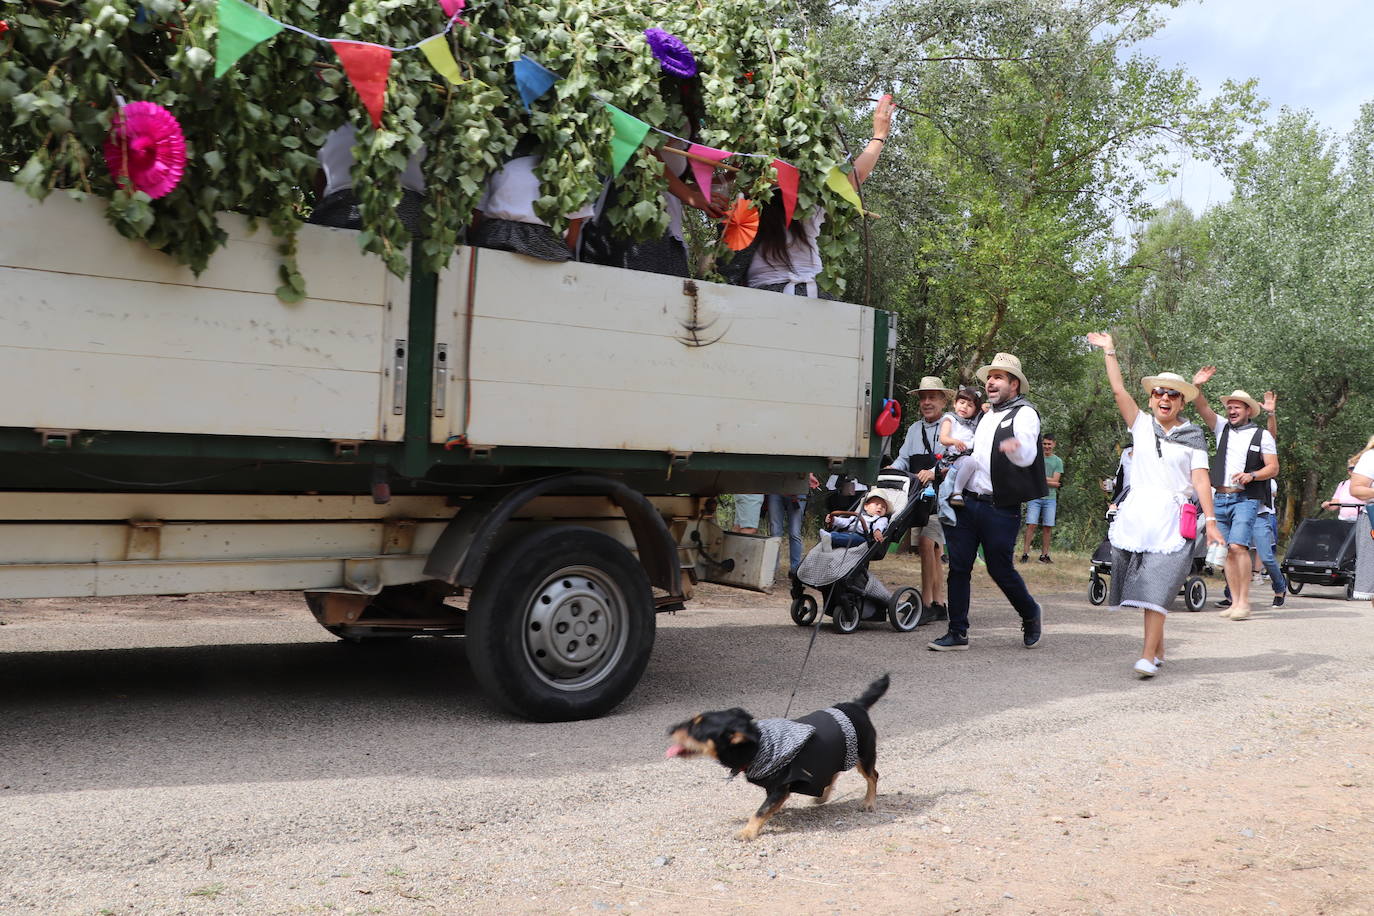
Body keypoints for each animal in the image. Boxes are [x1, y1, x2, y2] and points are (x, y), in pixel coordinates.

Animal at [665, 678, 890, 840]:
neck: (758, 747)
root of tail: (856, 706)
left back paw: (869, 802)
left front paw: (748, 832)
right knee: (832, 774)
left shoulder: (780, 787)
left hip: (864, 757)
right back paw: (823, 797)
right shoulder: (773, 786)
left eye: (696, 729)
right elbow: (766, 807)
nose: (669, 729)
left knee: (873, 776)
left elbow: (760, 811)